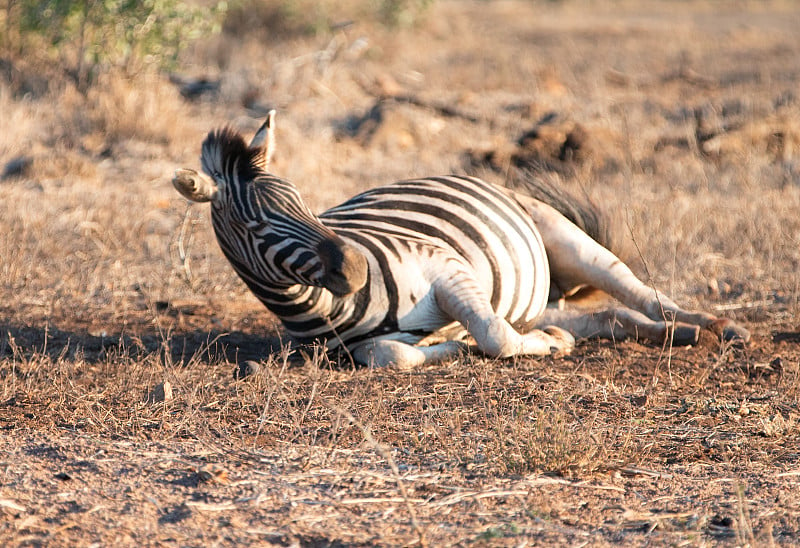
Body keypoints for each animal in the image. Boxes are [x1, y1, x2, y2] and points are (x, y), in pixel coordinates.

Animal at [170, 111, 752, 368]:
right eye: (256, 226)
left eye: (306, 204)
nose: (356, 268)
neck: (320, 307)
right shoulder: (362, 351)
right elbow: (399, 355)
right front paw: (455, 344)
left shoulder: (447, 270)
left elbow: (495, 337)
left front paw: (531, 347)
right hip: (535, 299)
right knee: (609, 316)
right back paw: (673, 336)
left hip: (563, 237)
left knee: (638, 291)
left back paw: (714, 326)